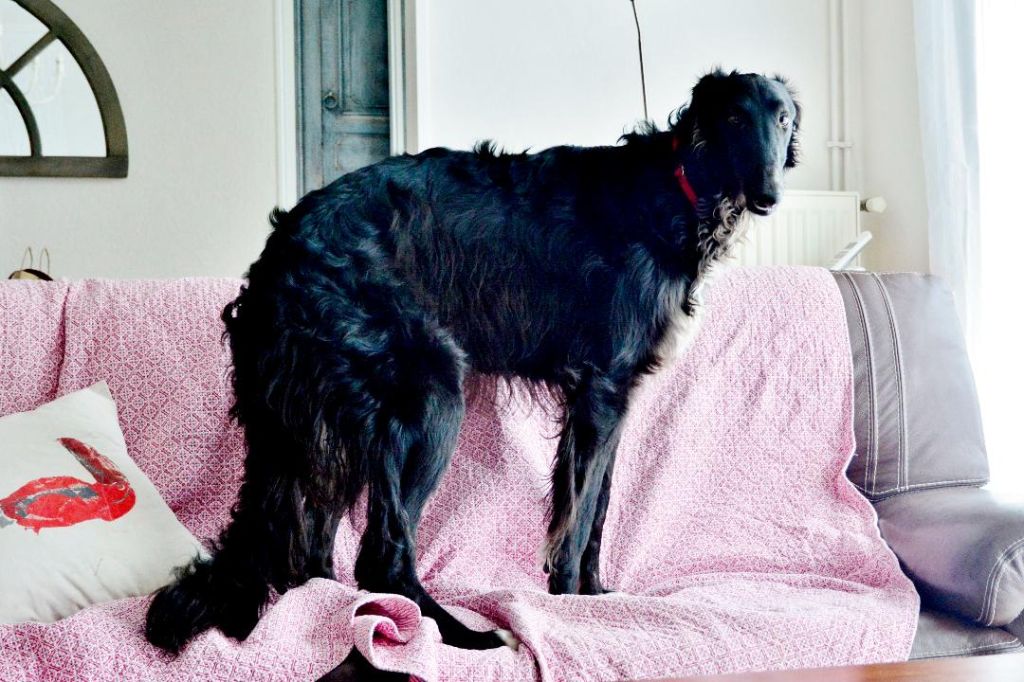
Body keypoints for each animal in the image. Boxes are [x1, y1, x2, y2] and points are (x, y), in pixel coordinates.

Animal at [145, 69, 800, 654]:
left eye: (784, 118)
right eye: (734, 118)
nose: (770, 196)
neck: (675, 188)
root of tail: (277, 257)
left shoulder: (613, 398)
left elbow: (598, 511)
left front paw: (598, 596)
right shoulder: (603, 389)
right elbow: (576, 520)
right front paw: (572, 610)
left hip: (332, 417)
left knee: (316, 550)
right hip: (429, 391)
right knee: (382, 554)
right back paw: (462, 634)